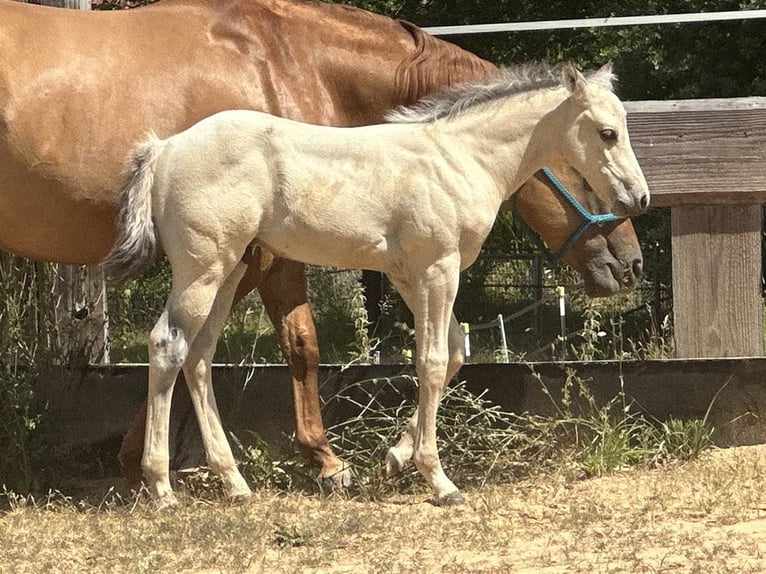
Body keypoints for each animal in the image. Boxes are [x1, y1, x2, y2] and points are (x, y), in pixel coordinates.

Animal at [0, 0, 642, 490]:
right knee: (168, 345)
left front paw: (393, 459)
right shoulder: (434, 268)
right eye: (607, 134)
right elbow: (423, 359)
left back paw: (232, 482)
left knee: (198, 355)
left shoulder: (408, 273)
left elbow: (452, 351)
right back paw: (161, 484)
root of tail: (164, 147)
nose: (632, 253)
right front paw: (431, 478)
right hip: (207, 267)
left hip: (225, 269)